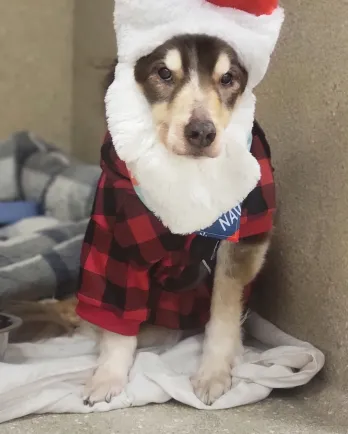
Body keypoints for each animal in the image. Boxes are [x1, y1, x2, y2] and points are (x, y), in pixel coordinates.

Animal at [6, 34, 272, 406]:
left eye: (228, 78)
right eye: (163, 73)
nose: (202, 133)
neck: (186, 178)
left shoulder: (244, 240)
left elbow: (224, 312)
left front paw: (214, 373)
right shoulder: (118, 240)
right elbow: (118, 324)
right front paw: (108, 377)